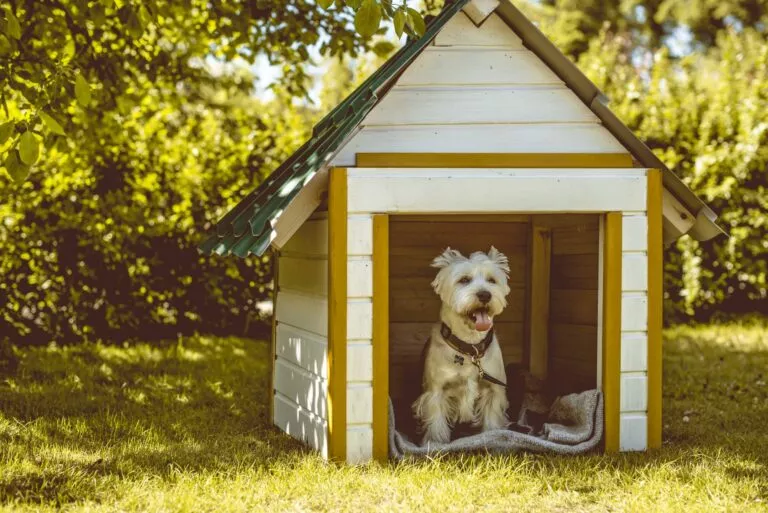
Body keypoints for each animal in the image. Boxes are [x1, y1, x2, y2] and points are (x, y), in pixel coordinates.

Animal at [412, 246, 512, 442]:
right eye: (464, 280)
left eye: (492, 280)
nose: (485, 294)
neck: (470, 348)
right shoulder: (436, 391)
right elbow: (436, 421)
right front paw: (435, 442)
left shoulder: (494, 390)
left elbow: (491, 418)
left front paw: (493, 436)